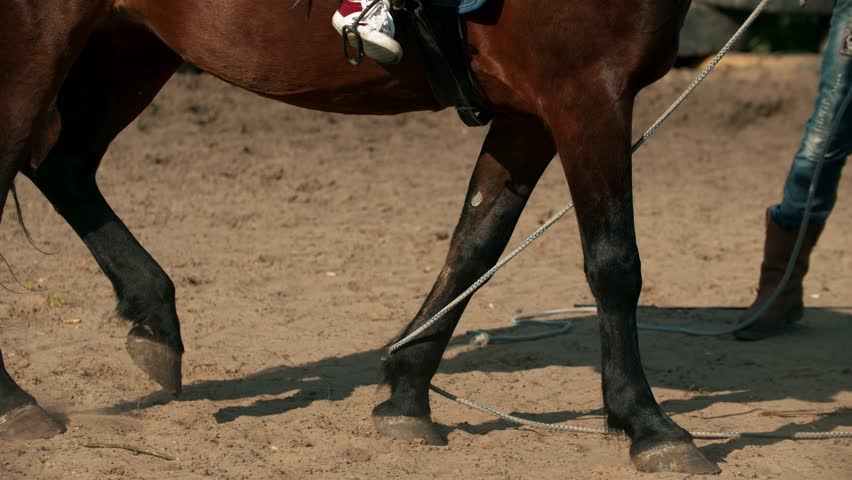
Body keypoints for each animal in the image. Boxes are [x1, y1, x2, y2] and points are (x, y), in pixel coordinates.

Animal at [0, 0, 718, 474]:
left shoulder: (529, 112)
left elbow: (475, 245)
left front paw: (405, 395)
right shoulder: (586, 91)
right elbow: (614, 263)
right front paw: (647, 423)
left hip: (130, 45)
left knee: (63, 165)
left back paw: (154, 317)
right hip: (39, 46)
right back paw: (16, 402)